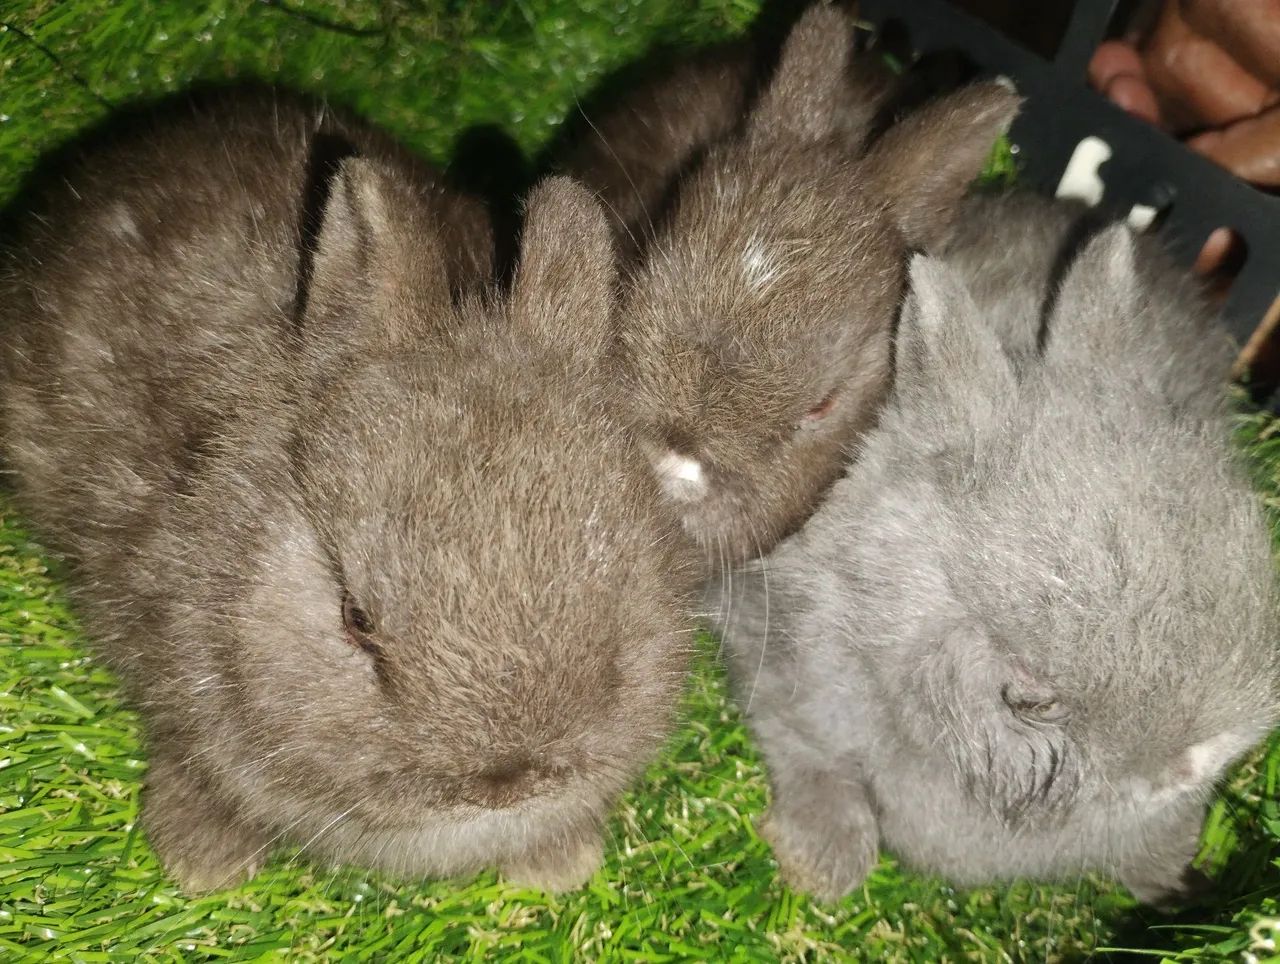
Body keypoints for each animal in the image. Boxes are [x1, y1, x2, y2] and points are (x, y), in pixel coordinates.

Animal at [715, 212, 1279, 904]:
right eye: (1031, 701)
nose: (1196, 764)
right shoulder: (777, 665)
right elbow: (810, 757)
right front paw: (822, 869)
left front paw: (1172, 879)